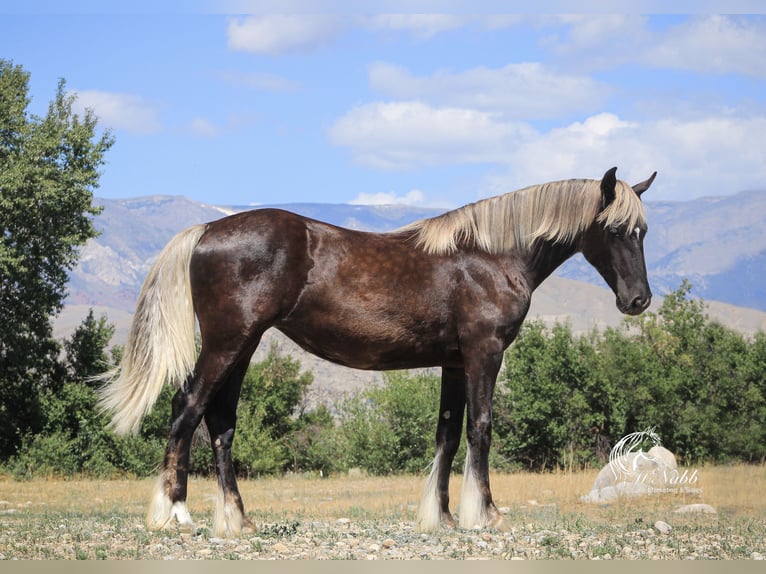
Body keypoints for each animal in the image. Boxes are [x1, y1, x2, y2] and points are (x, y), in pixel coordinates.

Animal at [96, 166, 660, 540]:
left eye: (644, 232)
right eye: (615, 229)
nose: (638, 300)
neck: (489, 255)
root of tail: (207, 230)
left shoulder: (454, 361)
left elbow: (447, 434)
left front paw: (443, 516)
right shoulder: (484, 353)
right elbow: (480, 428)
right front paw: (486, 513)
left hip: (243, 345)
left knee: (220, 422)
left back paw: (238, 519)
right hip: (227, 342)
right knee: (186, 410)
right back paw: (175, 513)